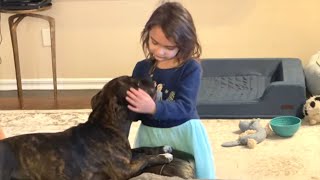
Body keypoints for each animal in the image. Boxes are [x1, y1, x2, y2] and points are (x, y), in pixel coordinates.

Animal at [0, 76, 172, 180]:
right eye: (136, 85)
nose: (152, 79)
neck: (106, 125)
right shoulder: (124, 170)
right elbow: (145, 159)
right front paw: (164, 156)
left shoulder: (128, 154)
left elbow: (143, 149)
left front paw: (163, 148)